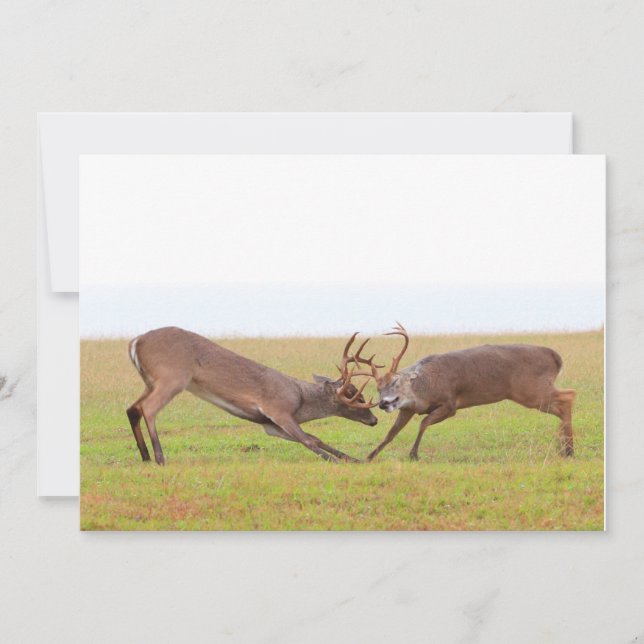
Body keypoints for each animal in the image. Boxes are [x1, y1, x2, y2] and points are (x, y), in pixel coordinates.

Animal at [126, 326, 379, 465]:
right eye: (354, 395)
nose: (374, 420)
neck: (300, 399)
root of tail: (135, 341)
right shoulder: (277, 409)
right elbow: (307, 439)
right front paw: (337, 461)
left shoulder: (270, 425)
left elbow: (314, 438)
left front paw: (355, 459)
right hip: (173, 378)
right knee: (148, 408)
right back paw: (160, 458)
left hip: (151, 381)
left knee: (132, 408)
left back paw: (145, 456)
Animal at [352, 323, 576, 462]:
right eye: (378, 389)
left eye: (396, 381)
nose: (383, 403)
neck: (425, 387)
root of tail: (556, 358)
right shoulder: (408, 409)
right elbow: (391, 433)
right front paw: (368, 457)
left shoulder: (450, 405)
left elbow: (424, 422)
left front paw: (413, 454)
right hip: (533, 392)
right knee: (563, 403)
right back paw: (564, 447)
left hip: (531, 391)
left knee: (568, 396)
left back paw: (568, 450)